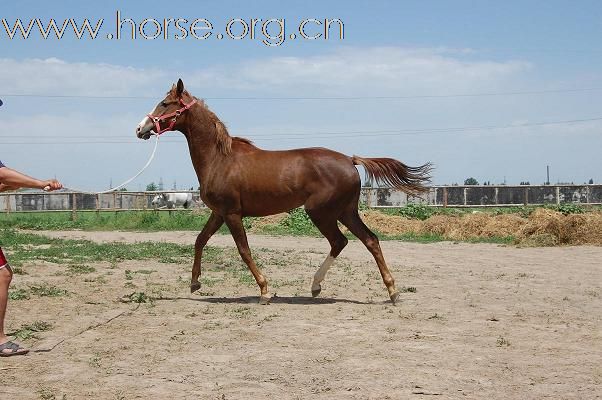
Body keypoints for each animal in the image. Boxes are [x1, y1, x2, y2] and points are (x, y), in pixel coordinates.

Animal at [135, 79, 432, 304]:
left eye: (165, 103)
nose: (141, 128)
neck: (220, 159)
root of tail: (350, 160)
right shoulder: (219, 213)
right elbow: (200, 240)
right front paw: (195, 283)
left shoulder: (232, 214)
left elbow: (244, 250)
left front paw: (264, 291)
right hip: (345, 212)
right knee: (369, 240)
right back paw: (388, 291)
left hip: (321, 212)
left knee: (341, 241)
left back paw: (321, 286)